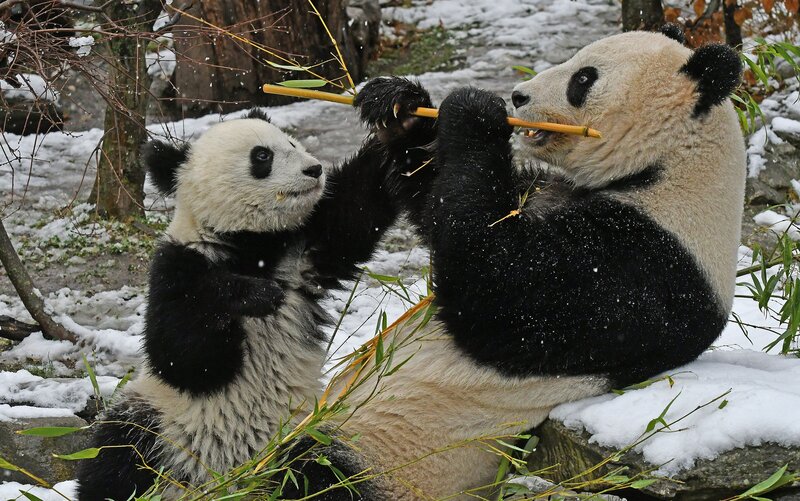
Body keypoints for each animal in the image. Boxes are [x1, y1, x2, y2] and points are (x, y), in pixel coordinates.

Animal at [75, 109, 415, 500]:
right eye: (262, 156)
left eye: (292, 142)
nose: (314, 169)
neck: (251, 246)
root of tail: (224, 482)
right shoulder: (176, 267)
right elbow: (182, 352)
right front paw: (255, 295)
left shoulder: (304, 251)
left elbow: (356, 210)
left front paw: (399, 118)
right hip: (159, 423)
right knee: (115, 457)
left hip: (304, 434)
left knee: (327, 475)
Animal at [283, 27, 746, 500]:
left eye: (583, 78)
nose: (518, 96)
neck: (668, 168)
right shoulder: (545, 190)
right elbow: (439, 197)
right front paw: (401, 106)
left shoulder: (648, 264)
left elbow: (501, 293)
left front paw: (474, 112)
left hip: (387, 462)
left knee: (316, 475)